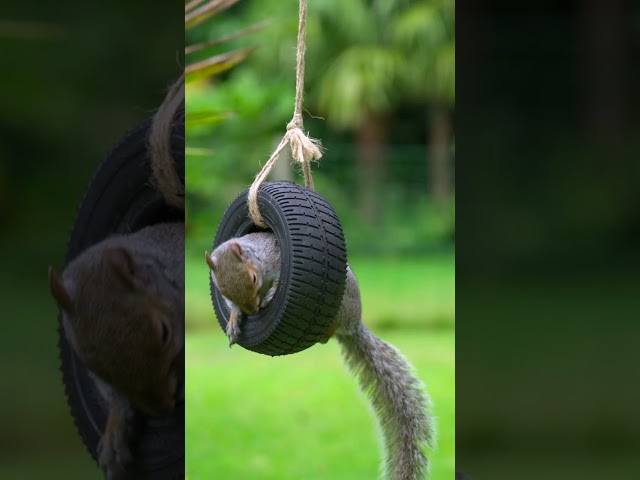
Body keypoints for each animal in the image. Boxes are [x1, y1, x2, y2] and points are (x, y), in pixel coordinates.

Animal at [206, 232, 435, 480]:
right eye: (222, 290)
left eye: (254, 278)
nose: (253, 310)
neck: (257, 254)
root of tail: (354, 324)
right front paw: (233, 320)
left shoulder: (276, 257)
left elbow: (278, 282)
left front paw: (271, 293)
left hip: (340, 302)